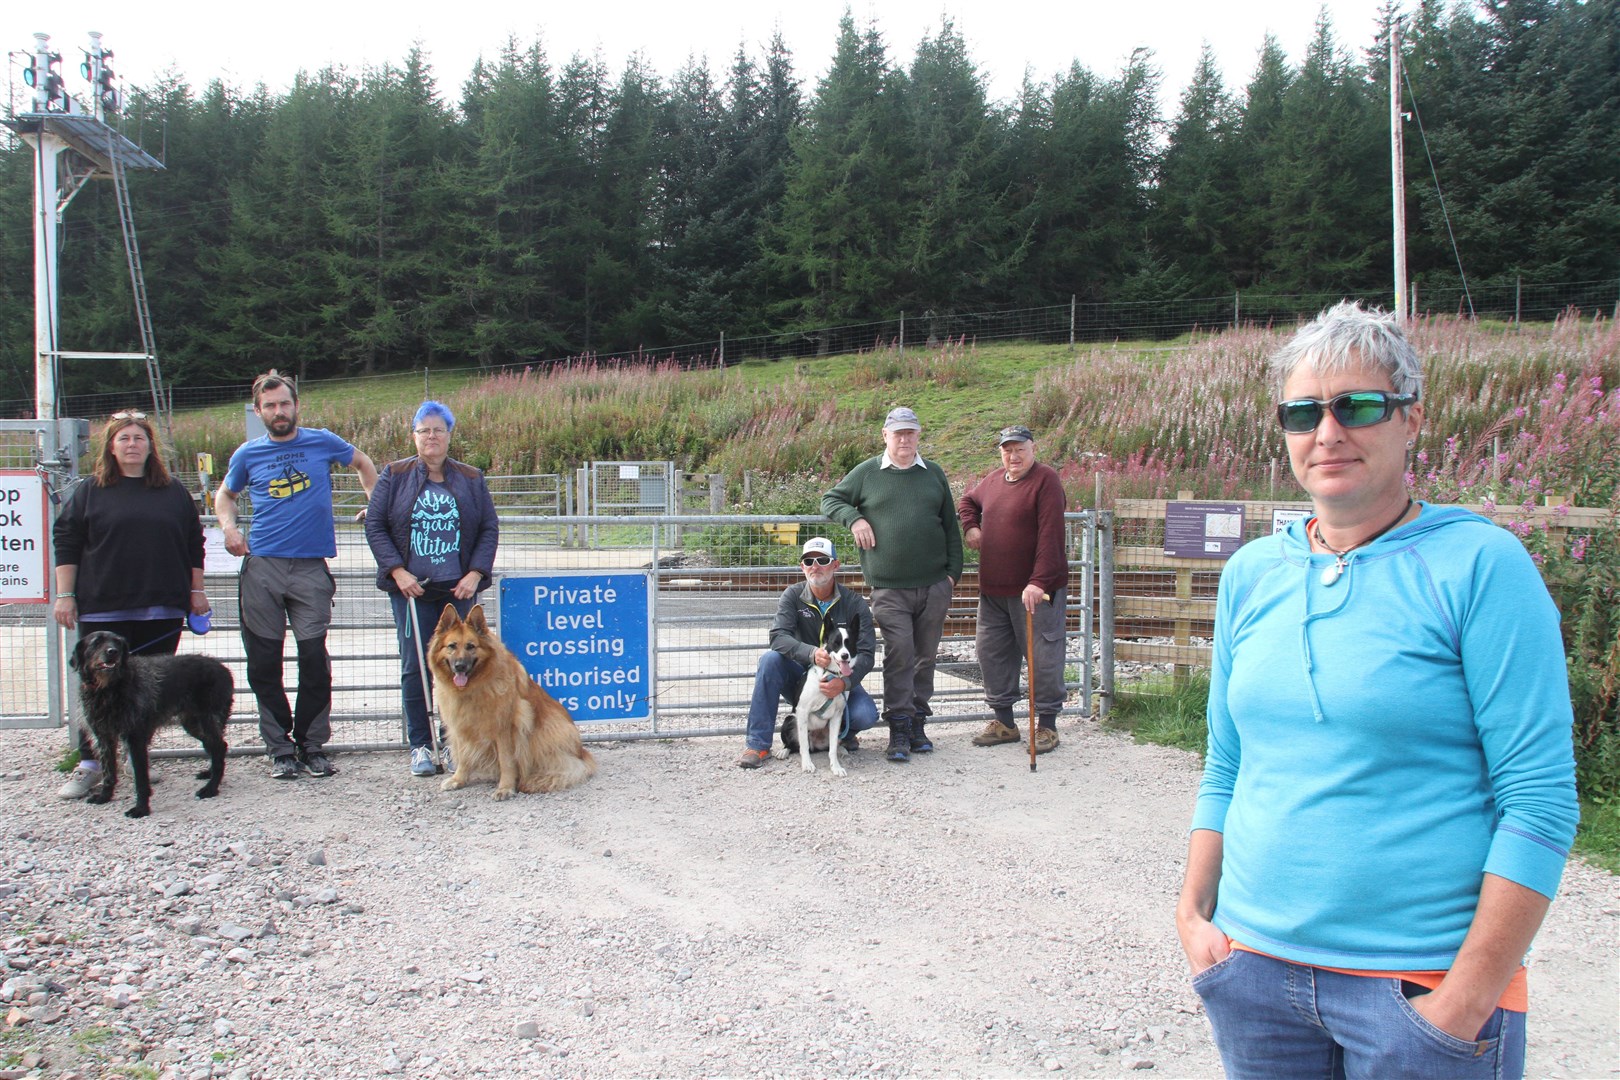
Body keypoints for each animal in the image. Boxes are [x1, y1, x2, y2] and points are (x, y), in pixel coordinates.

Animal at [68, 634, 233, 819]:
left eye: (117, 642)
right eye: (96, 642)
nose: (113, 651)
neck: (109, 689)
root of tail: (224, 669)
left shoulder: (136, 739)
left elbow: (141, 780)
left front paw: (141, 809)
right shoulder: (104, 738)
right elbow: (108, 772)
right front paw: (105, 796)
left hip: (207, 720)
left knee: (219, 747)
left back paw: (211, 788)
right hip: (192, 724)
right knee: (218, 746)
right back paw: (210, 774)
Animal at [427, 605, 599, 799]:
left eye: (471, 646)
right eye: (452, 646)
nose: (460, 666)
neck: (473, 688)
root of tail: (581, 752)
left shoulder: (506, 729)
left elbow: (506, 761)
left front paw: (506, 787)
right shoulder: (460, 727)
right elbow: (463, 756)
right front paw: (458, 779)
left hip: (550, 731)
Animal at [774, 625, 855, 777]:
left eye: (849, 643)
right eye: (836, 643)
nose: (845, 656)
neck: (829, 675)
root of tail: (815, 744)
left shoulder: (837, 716)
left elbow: (833, 748)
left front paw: (836, 767)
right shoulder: (802, 711)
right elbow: (803, 745)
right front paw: (807, 764)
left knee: (831, 745)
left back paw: (842, 750)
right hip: (790, 719)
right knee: (795, 745)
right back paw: (784, 751)